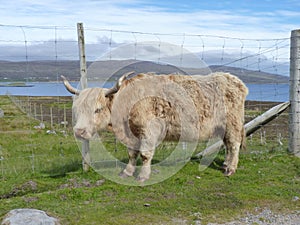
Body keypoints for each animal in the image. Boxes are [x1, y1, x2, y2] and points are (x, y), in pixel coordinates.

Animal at [62, 73, 247, 182]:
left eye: (97, 109)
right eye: (76, 109)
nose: (79, 132)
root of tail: (234, 80)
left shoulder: (148, 132)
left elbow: (145, 154)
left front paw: (143, 176)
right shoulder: (132, 135)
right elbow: (132, 154)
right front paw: (127, 172)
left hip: (233, 124)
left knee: (233, 144)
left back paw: (230, 169)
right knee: (228, 145)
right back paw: (225, 164)